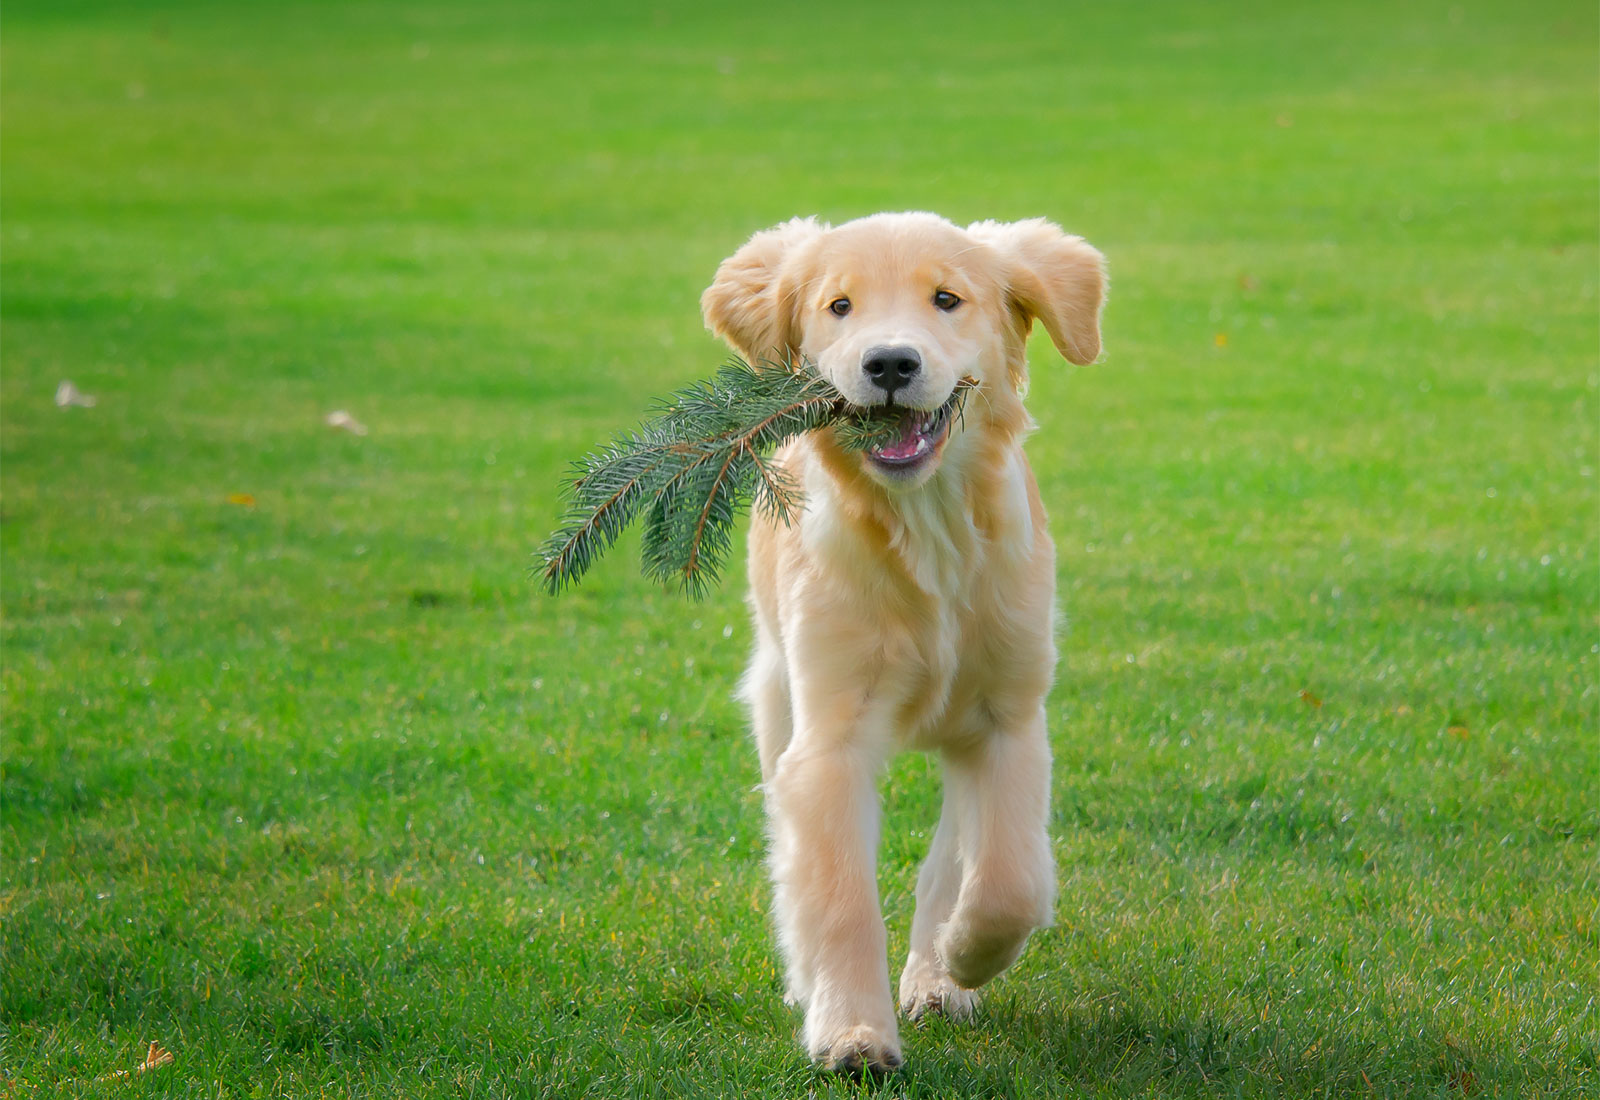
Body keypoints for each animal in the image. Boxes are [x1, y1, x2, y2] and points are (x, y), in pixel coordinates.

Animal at [707, 211, 1107, 1068]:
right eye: (840, 306)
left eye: (946, 299)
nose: (890, 362)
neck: (929, 533)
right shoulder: (830, 741)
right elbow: (838, 894)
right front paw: (851, 1033)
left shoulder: (1009, 718)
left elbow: (1010, 878)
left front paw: (962, 956)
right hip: (776, 694)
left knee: (959, 848)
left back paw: (937, 974)